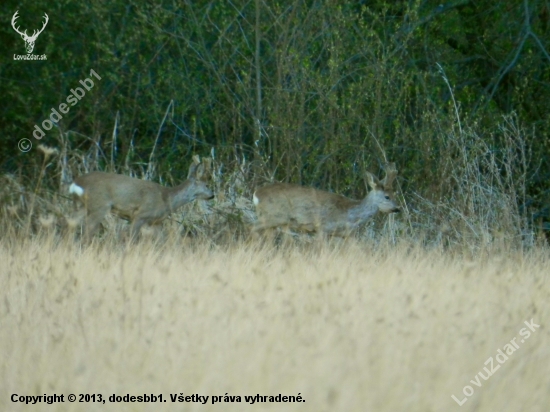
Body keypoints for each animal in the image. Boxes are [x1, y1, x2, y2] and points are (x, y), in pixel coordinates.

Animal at [69, 158, 216, 241]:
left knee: (70, 223)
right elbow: (132, 238)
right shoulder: (140, 215)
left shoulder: (156, 222)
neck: (166, 199)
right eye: (206, 185)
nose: (212, 195)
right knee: (87, 230)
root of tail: (77, 183)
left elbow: (161, 241)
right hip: (99, 205)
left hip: (80, 205)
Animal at [253, 163, 402, 237]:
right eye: (387, 196)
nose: (397, 209)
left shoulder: (345, 235)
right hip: (272, 216)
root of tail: (256, 194)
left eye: (394, 193)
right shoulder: (322, 228)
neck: (349, 214)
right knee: (252, 228)